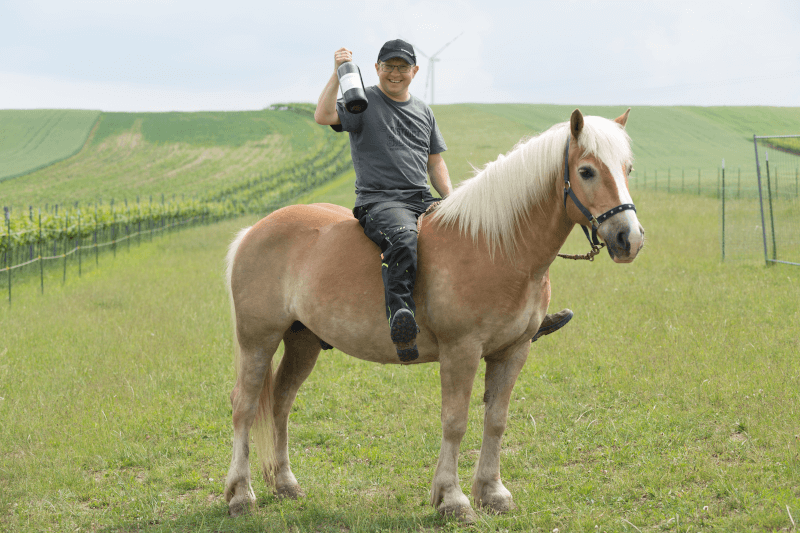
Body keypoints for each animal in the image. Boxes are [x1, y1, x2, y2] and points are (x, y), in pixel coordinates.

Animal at [223, 108, 644, 523]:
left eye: (627, 168)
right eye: (586, 170)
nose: (630, 238)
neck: (495, 247)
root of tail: (251, 231)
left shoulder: (514, 351)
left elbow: (496, 420)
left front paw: (493, 492)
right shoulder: (461, 351)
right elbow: (455, 422)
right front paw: (452, 499)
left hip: (302, 341)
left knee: (280, 402)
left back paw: (285, 484)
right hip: (258, 340)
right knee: (244, 406)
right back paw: (241, 494)